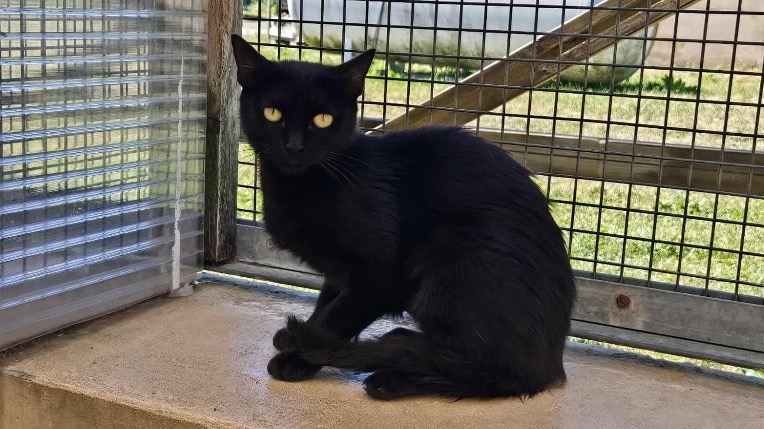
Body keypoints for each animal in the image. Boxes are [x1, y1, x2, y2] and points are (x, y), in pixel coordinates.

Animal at [231, 34, 576, 400]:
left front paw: (299, 356)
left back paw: (391, 377)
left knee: (498, 370)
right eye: (272, 113)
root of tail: (552, 361)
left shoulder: (381, 274)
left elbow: (338, 316)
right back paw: (399, 344)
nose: (294, 146)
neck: (304, 185)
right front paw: (301, 336)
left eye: (323, 119)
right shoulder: (339, 271)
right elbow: (327, 302)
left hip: (458, 241)